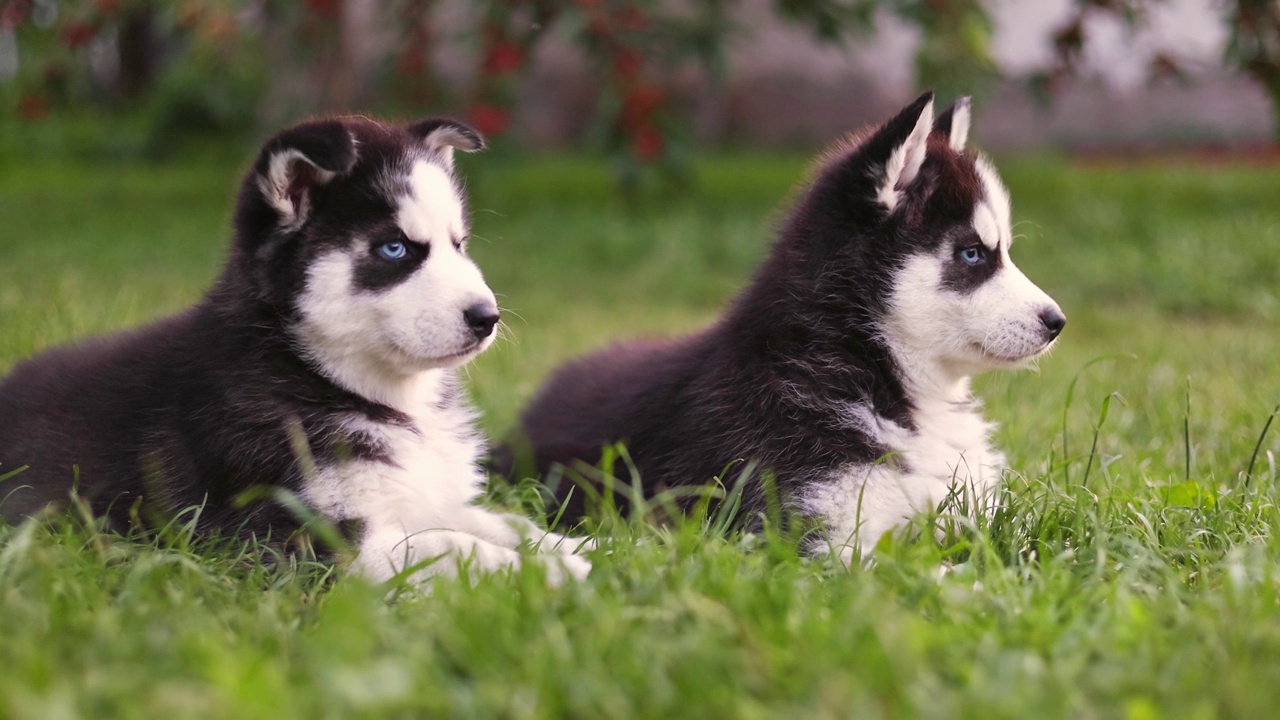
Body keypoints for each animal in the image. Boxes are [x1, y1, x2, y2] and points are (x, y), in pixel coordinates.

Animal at [0, 113, 588, 584]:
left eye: (458, 245)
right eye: (394, 249)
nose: (488, 318)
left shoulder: (421, 495)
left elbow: (499, 521)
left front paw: (580, 547)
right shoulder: (297, 534)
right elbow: (454, 545)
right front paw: (563, 575)